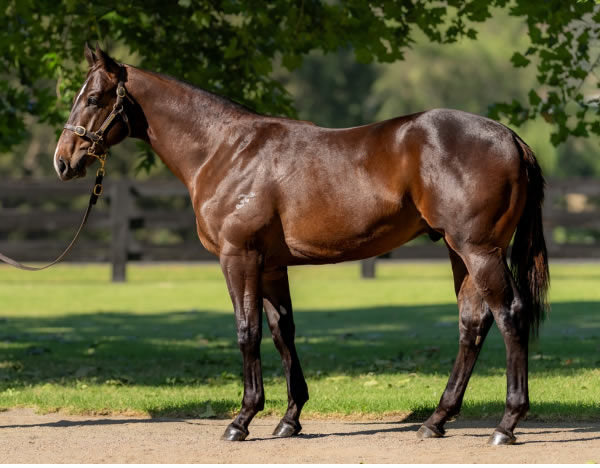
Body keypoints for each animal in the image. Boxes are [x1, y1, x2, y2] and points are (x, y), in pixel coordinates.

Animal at [52, 44, 548, 446]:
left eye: (93, 98)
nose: (62, 161)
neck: (225, 151)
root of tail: (510, 137)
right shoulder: (271, 266)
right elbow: (281, 332)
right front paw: (289, 419)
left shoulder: (239, 258)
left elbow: (247, 331)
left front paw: (242, 419)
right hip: (459, 252)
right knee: (473, 324)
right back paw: (436, 420)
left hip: (479, 251)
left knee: (510, 315)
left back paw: (507, 424)